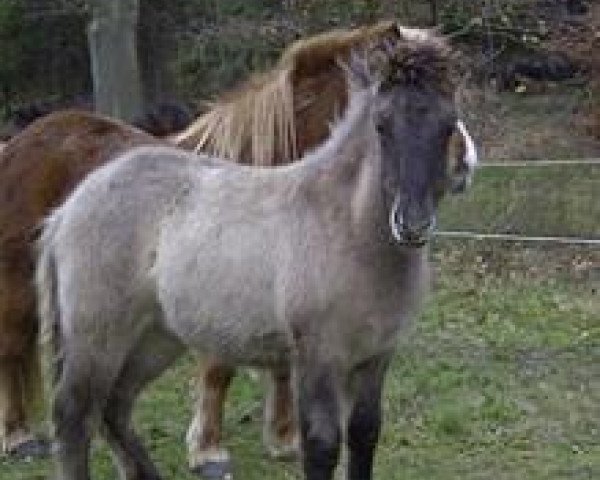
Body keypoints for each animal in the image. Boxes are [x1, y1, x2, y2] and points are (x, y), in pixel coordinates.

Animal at [37, 36, 478, 480]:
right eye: (381, 126)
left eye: (448, 125)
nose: (412, 223)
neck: (350, 233)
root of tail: (69, 207)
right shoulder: (318, 355)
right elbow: (322, 444)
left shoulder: (376, 356)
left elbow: (365, 433)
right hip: (97, 336)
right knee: (73, 413)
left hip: (156, 336)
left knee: (115, 406)